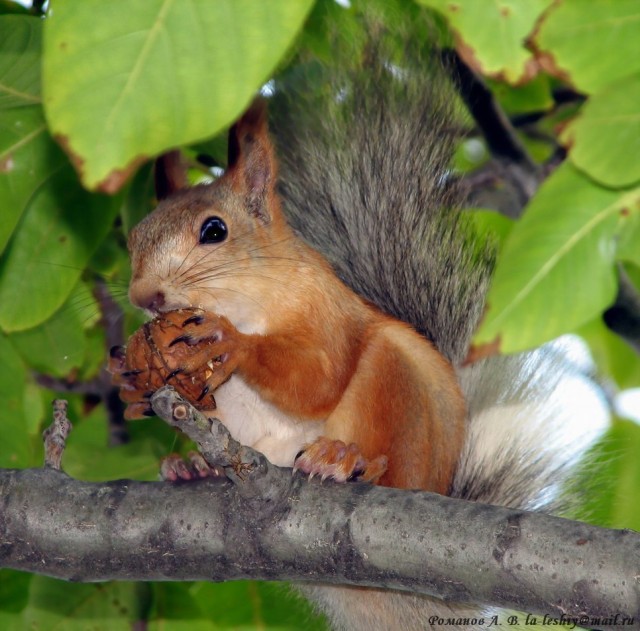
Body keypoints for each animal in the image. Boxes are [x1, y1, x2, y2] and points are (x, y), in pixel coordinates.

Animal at [126, 103, 464, 496]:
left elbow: (318, 379)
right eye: (134, 239)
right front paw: (137, 390)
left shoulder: (325, 306)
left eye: (214, 230)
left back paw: (345, 461)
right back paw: (192, 468)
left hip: (396, 385)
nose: (144, 296)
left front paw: (230, 342)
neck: (245, 310)